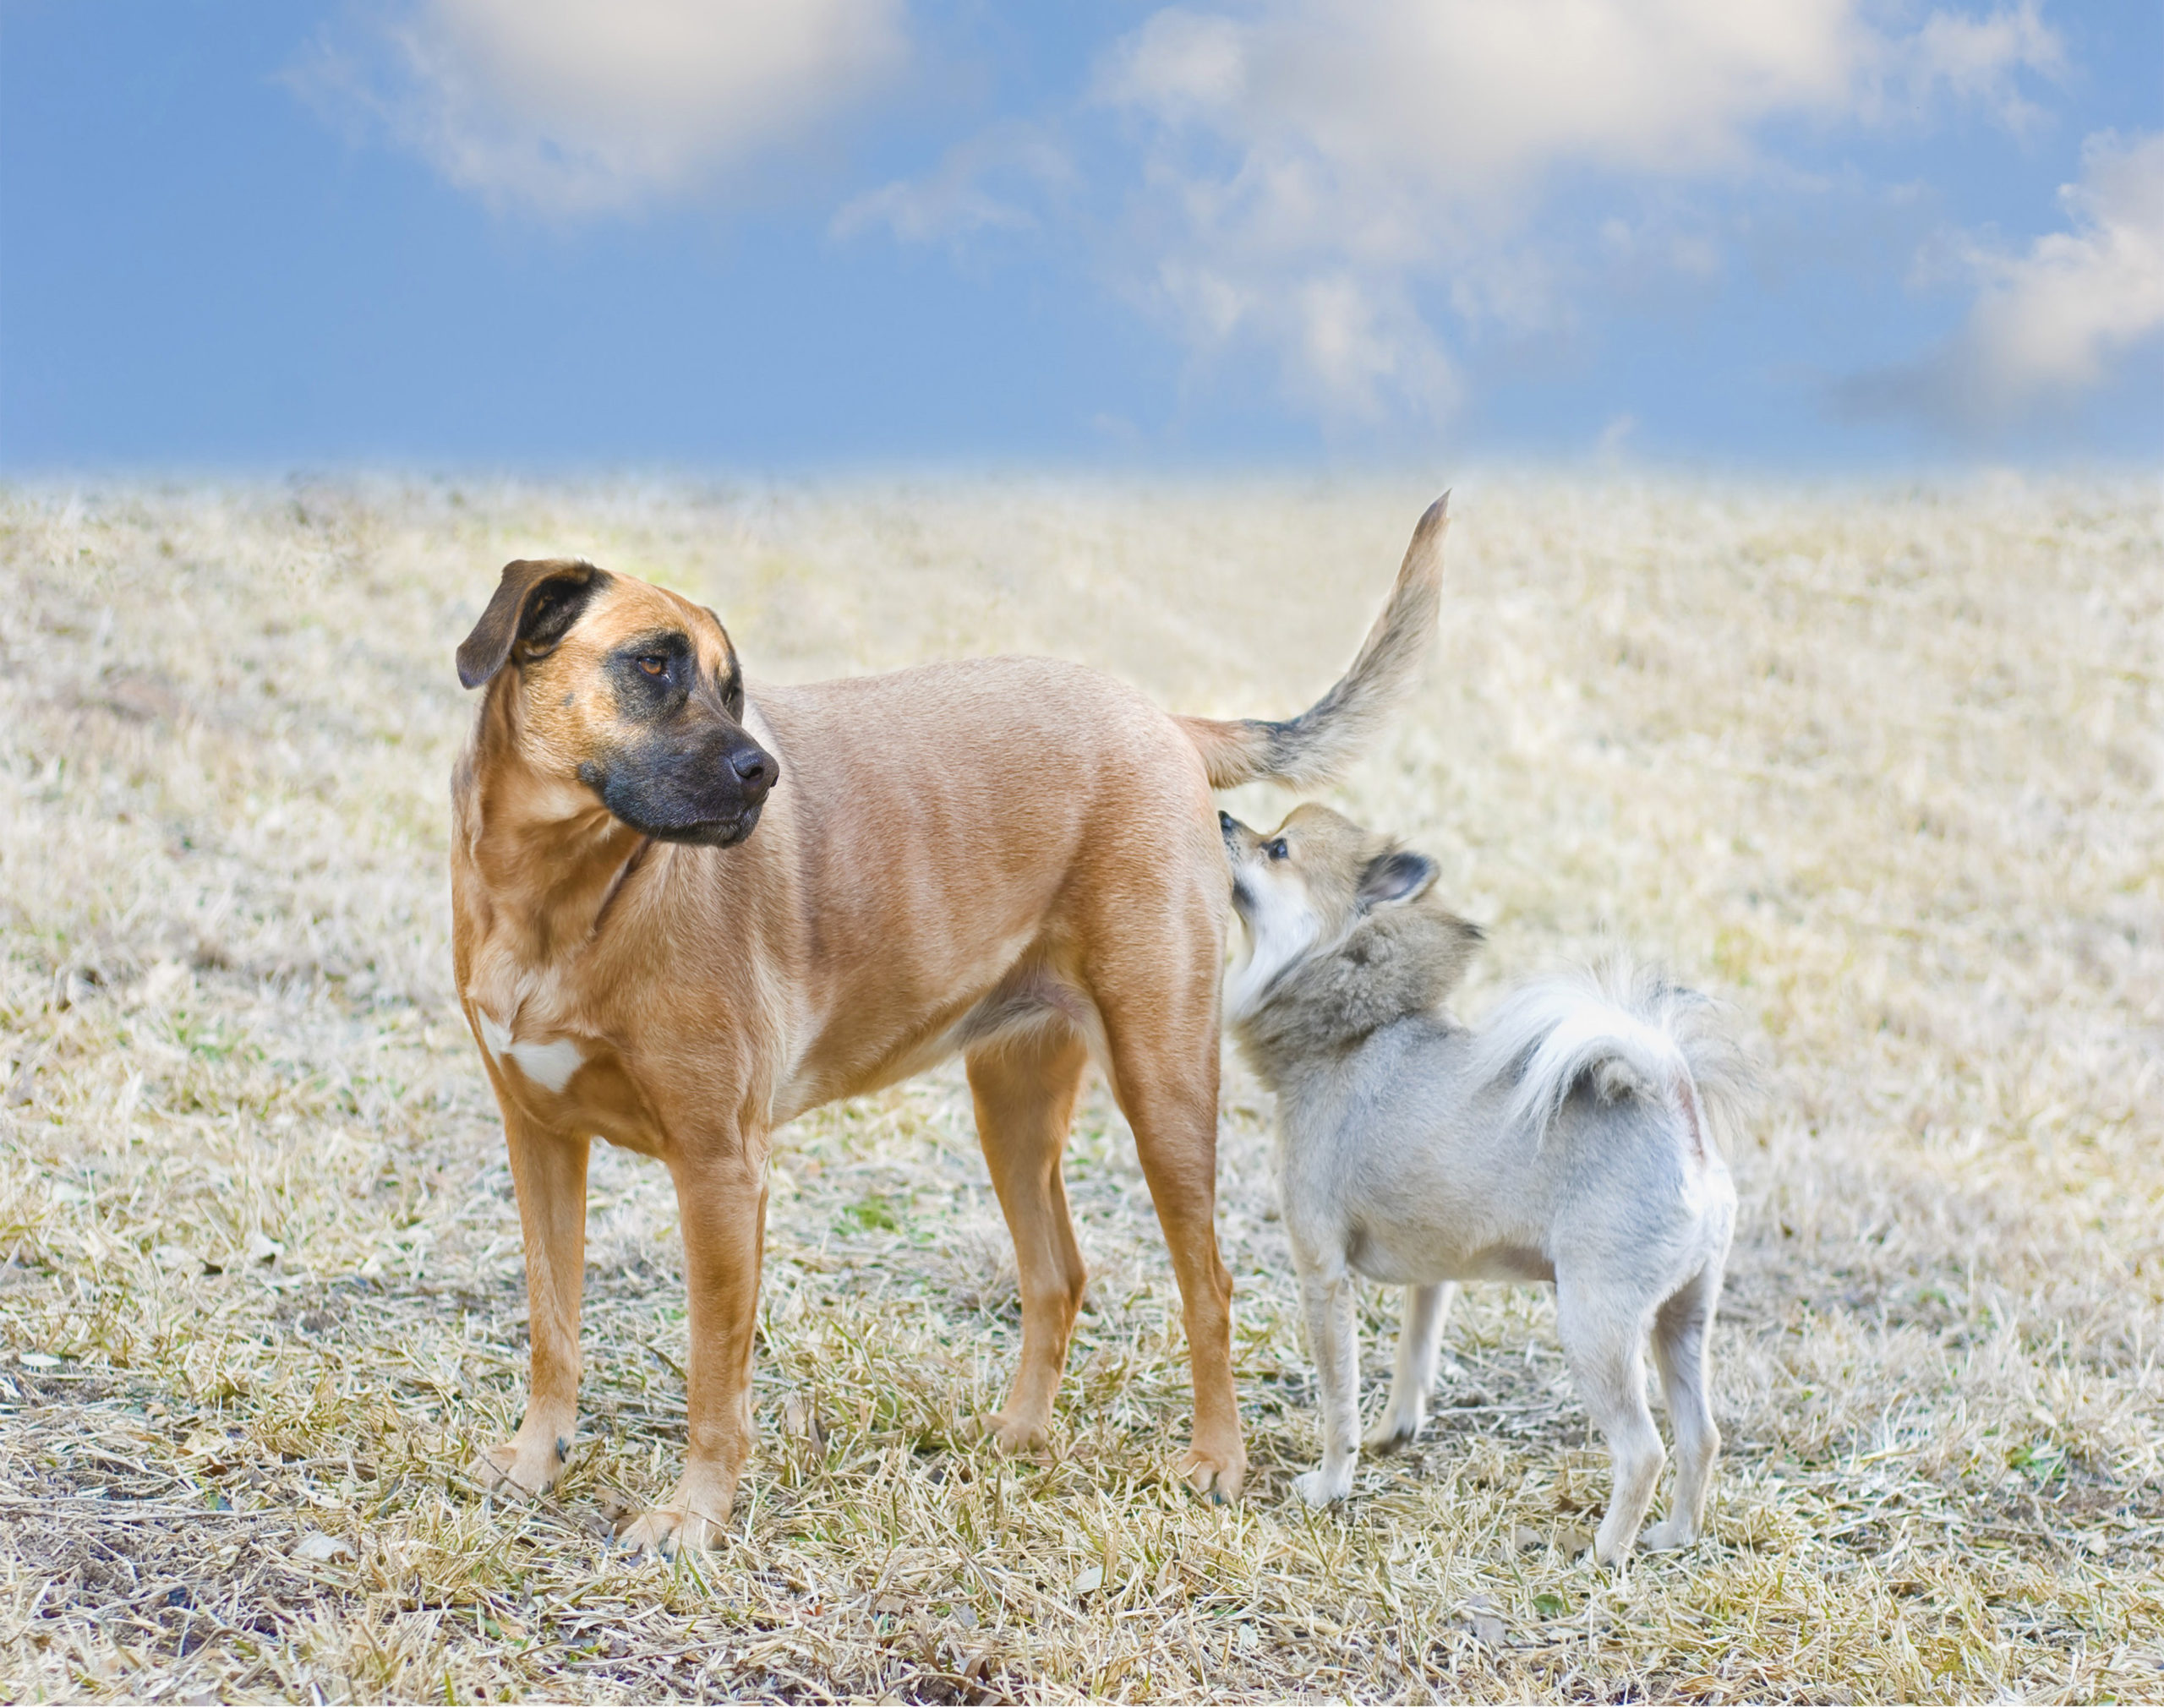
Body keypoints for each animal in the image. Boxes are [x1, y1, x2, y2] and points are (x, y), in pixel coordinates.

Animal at [447, 488, 1445, 1550]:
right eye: (650, 664)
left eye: (732, 685)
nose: (763, 774)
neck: (564, 894)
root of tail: (1162, 719)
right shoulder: (539, 1139)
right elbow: (552, 1322)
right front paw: (537, 1458)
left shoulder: (720, 1169)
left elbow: (714, 1373)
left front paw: (694, 1513)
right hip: (1010, 1098)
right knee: (1057, 1272)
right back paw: (1019, 1434)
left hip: (1163, 1086)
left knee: (1206, 1282)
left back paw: (1216, 1460)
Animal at [1229, 805, 1748, 1567]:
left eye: (1278, 848)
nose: (1222, 817)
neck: (1350, 1034)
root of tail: (1679, 1111)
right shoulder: (1433, 1272)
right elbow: (1415, 1353)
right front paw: (1396, 1430)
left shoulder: (1322, 1276)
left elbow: (1337, 1397)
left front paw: (1329, 1484)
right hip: (1681, 1319)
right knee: (1700, 1435)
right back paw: (1673, 1534)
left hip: (1594, 1326)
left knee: (1644, 1450)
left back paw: (1603, 1554)